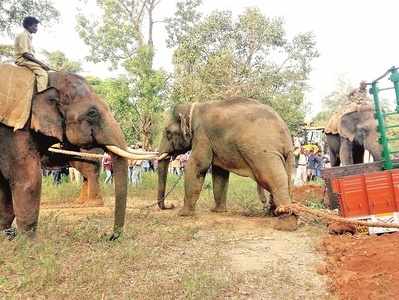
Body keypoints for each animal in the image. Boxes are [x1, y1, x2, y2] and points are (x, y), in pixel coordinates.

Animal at [0, 70, 158, 239]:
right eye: (92, 113)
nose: (110, 236)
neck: (46, 77)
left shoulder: (16, 132)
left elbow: (27, 180)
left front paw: (26, 242)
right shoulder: (14, 132)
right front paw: (8, 235)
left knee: (89, 171)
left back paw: (90, 204)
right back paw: (81, 203)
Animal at [156, 97, 296, 231]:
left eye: (168, 132)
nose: (170, 205)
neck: (194, 108)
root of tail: (287, 138)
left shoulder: (202, 136)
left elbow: (198, 165)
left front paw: (183, 214)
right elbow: (220, 173)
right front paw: (217, 211)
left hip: (263, 153)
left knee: (273, 180)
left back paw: (285, 224)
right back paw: (273, 214)